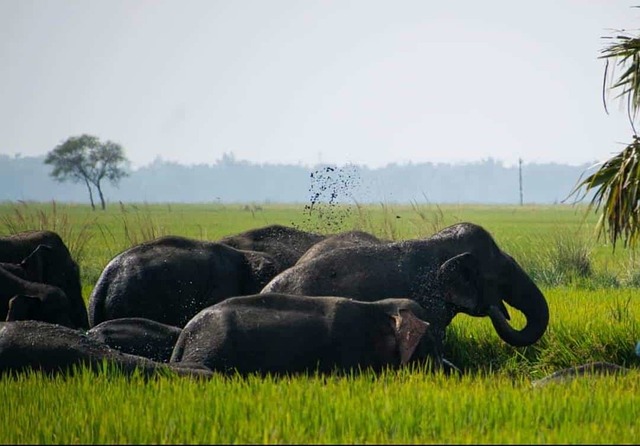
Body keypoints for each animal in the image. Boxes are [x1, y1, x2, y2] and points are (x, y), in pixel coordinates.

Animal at [171, 292, 444, 376]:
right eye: (429, 342)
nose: (449, 369)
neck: (377, 307)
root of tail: (186, 334)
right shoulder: (348, 348)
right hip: (212, 351)